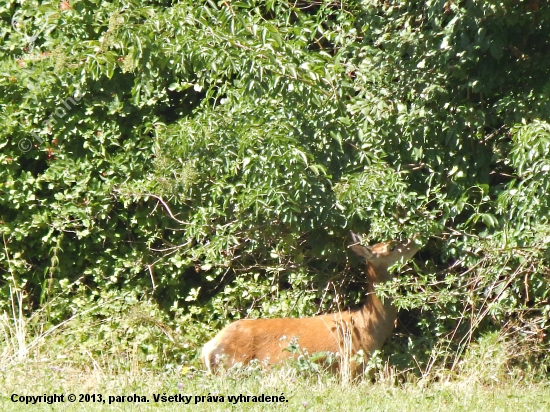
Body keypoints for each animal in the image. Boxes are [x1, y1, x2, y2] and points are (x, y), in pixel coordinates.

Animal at [201, 230, 420, 374]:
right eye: (392, 246)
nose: (415, 241)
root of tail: (209, 348)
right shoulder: (350, 365)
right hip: (234, 365)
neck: (366, 326)